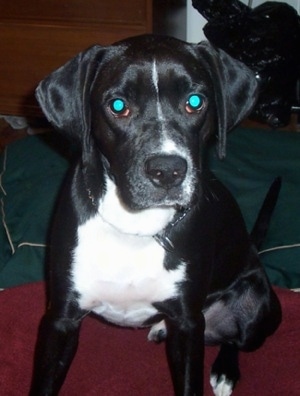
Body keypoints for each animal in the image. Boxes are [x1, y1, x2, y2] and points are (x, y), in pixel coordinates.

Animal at [29, 35, 282, 394]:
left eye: (195, 101)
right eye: (117, 105)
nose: (167, 171)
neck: (136, 225)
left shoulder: (188, 325)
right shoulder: (60, 318)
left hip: (257, 306)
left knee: (236, 338)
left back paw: (224, 371)